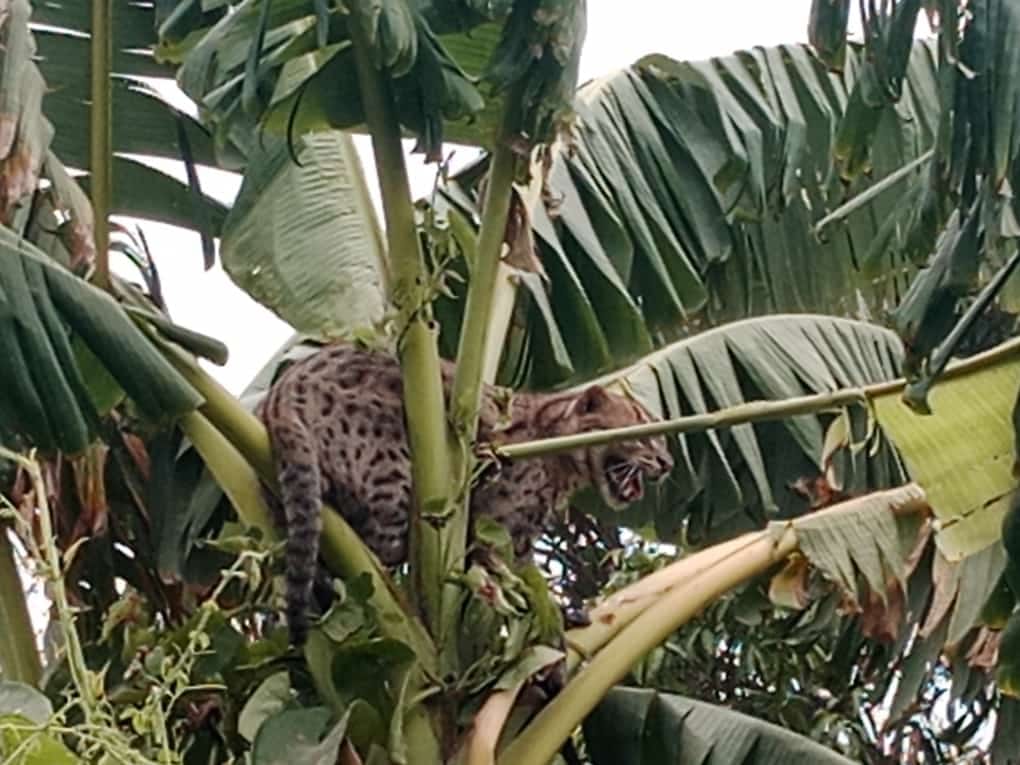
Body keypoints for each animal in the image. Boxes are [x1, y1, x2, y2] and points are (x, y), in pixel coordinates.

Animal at [256, 343, 674, 644]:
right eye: (643, 431)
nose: (668, 462)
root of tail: (281, 392)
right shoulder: (492, 524)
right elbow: (511, 569)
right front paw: (548, 611)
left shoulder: (518, 535)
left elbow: (526, 574)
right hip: (392, 465)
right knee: (370, 553)